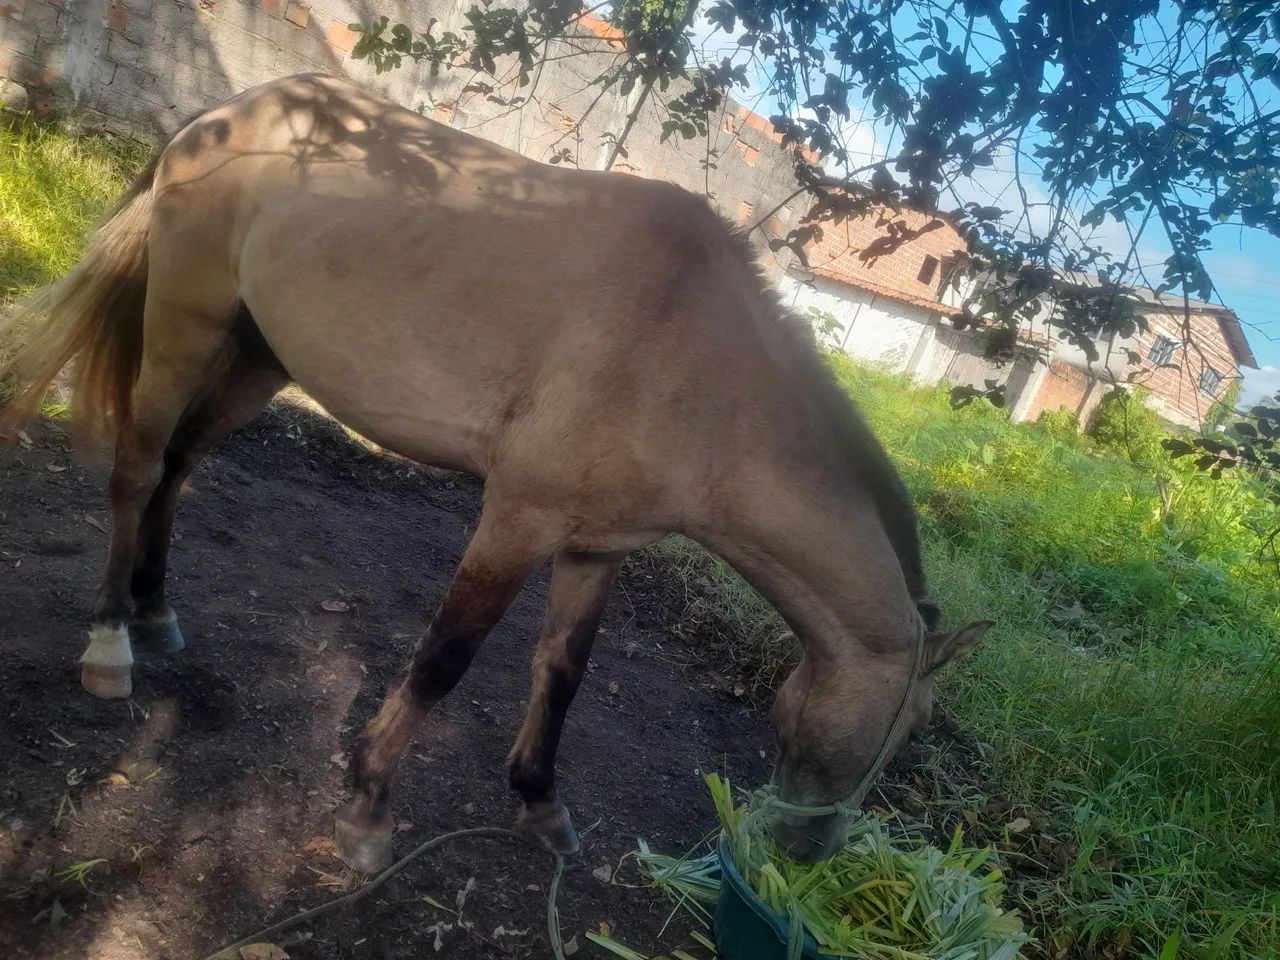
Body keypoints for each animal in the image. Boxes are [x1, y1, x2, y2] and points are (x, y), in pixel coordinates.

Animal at [0, 73, 990, 871]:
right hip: (185, 327)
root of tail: (229, 110)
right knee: (137, 470)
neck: (699, 368)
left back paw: (157, 610)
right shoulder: (517, 518)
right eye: (912, 727)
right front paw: (367, 808)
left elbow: (562, 674)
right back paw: (110, 644)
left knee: (179, 467)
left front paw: (540, 805)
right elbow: (447, 657)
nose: (807, 851)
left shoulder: (597, 549)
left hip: (255, 357)